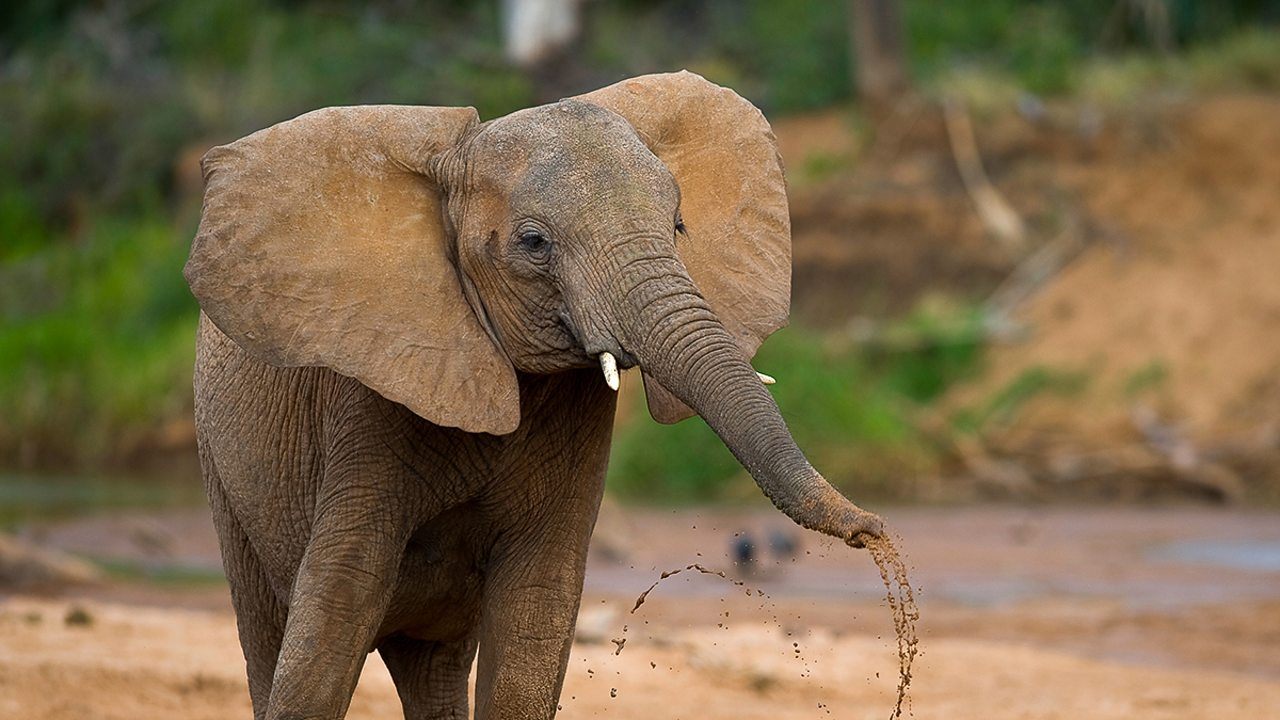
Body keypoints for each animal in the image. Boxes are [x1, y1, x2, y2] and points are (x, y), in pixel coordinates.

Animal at [185, 71, 885, 720]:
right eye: (533, 243)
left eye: (679, 225)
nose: (872, 532)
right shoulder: (367, 398)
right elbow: (339, 601)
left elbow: (536, 609)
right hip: (223, 468)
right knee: (270, 629)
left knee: (431, 667)